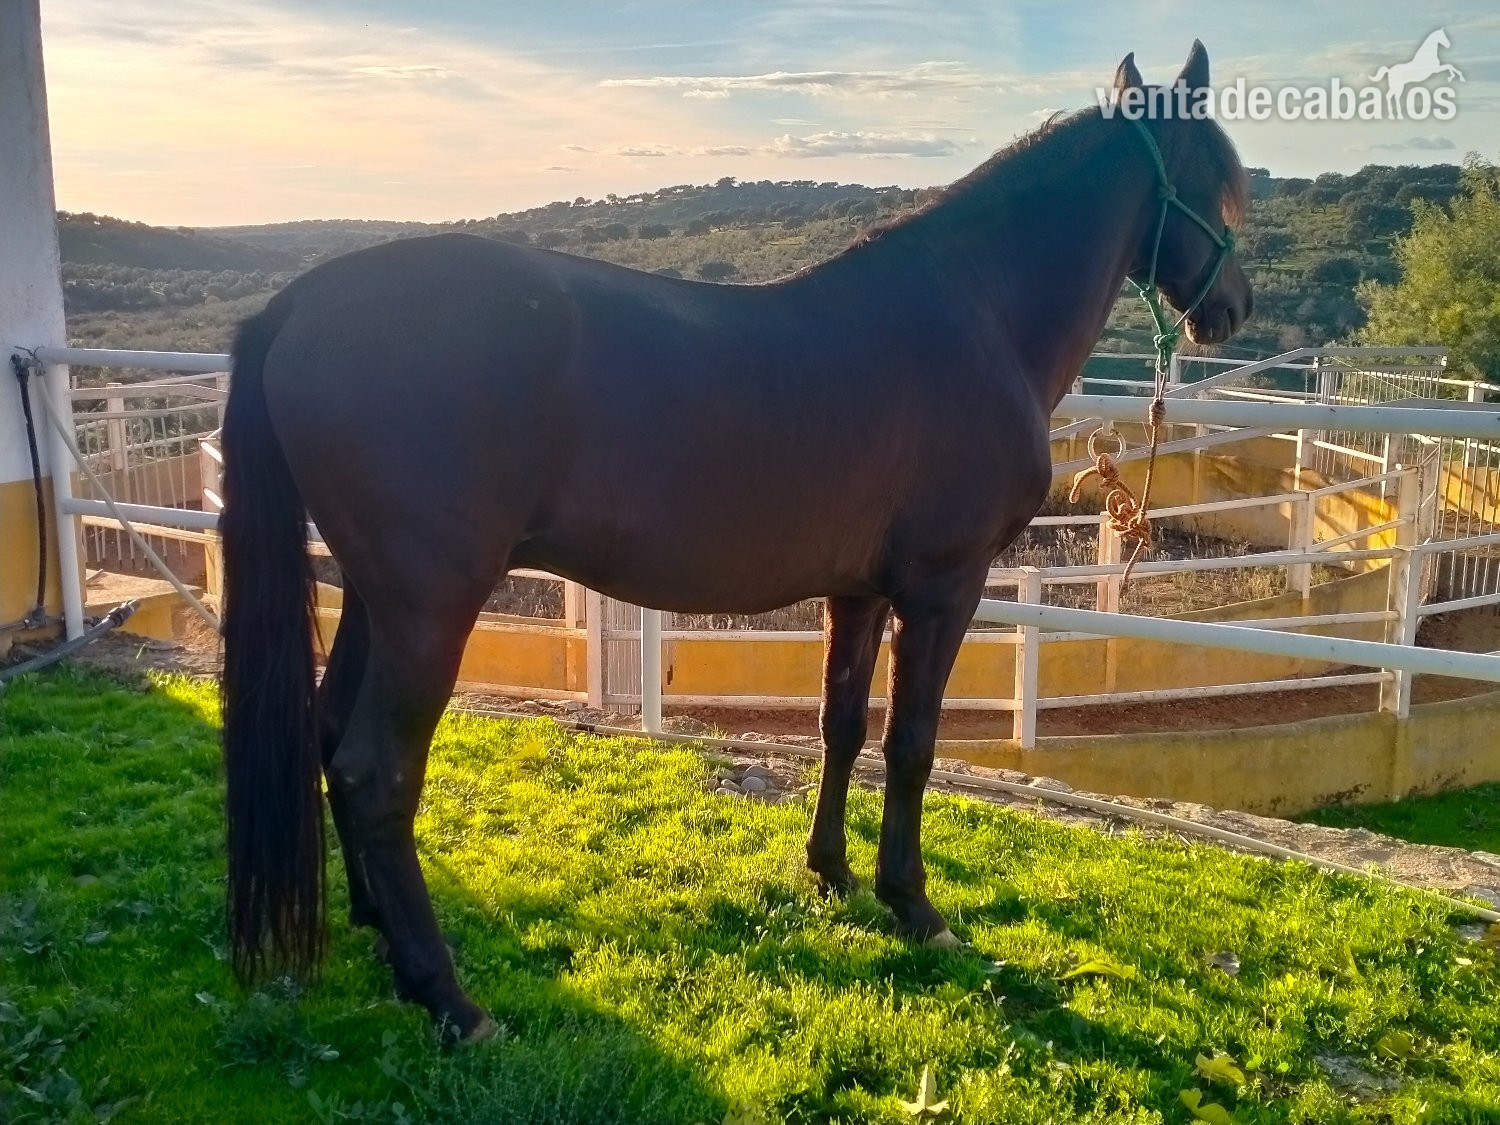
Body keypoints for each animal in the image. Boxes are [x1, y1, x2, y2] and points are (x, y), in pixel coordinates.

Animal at [219, 41, 1252, 1041]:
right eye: (1216, 182)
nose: (1234, 306)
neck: (976, 314)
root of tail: (300, 303)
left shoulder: (858, 589)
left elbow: (844, 725)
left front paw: (831, 872)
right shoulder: (942, 587)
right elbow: (913, 742)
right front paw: (915, 905)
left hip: (374, 597)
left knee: (328, 739)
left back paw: (380, 933)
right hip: (431, 607)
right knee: (377, 772)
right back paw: (449, 998)